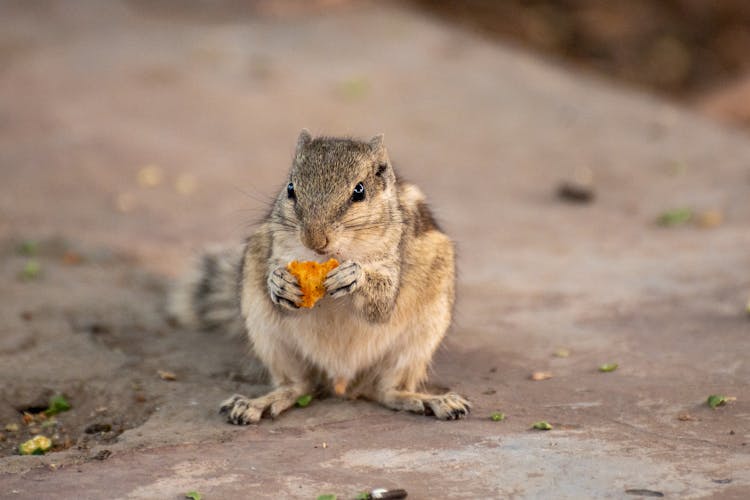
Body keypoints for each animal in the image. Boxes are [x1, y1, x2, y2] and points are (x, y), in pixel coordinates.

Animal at [170, 130, 470, 422]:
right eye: (290, 188)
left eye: (359, 191)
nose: (314, 239)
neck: (328, 257)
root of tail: (342, 380)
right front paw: (278, 284)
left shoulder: (393, 258)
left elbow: (381, 305)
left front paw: (354, 276)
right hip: (269, 336)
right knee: (298, 386)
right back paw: (257, 403)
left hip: (418, 341)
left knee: (388, 391)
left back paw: (429, 400)